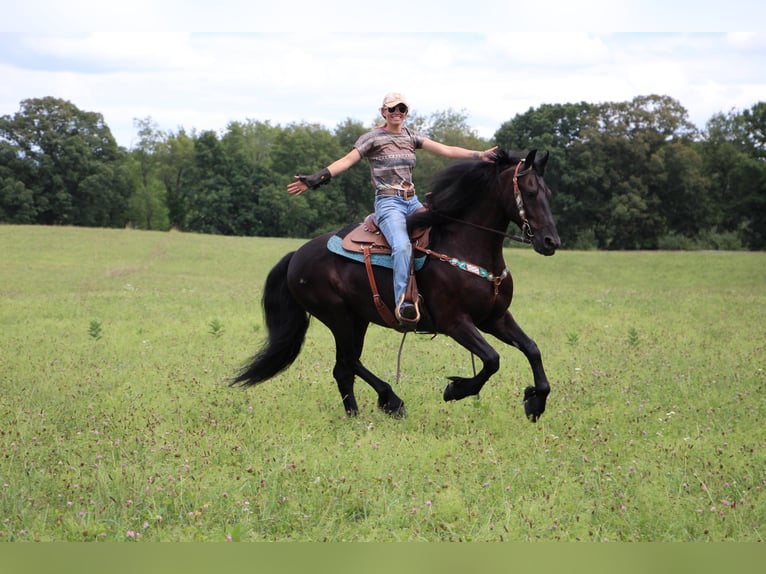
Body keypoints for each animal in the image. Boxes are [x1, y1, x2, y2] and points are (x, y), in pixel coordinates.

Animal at [231, 151, 560, 424]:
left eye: (548, 193)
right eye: (530, 192)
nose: (551, 242)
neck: (465, 246)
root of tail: (296, 255)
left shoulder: (495, 318)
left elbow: (532, 349)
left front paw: (536, 402)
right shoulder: (455, 322)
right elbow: (492, 359)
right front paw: (456, 389)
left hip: (358, 318)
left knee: (347, 365)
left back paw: (372, 408)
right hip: (338, 317)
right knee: (346, 364)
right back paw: (379, 405)